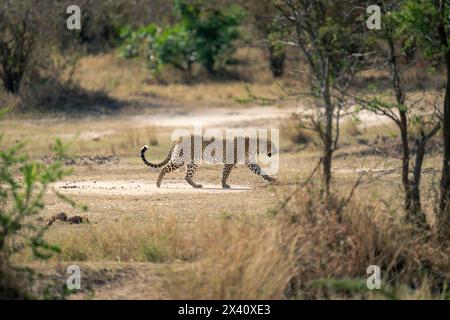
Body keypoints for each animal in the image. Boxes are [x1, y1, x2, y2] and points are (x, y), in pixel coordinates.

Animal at [141, 134, 276, 189]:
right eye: (273, 146)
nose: (276, 151)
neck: (255, 146)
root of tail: (180, 138)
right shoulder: (229, 162)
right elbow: (225, 174)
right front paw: (224, 185)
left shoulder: (250, 163)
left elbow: (260, 171)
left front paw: (272, 179)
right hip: (180, 159)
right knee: (164, 168)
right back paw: (158, 184)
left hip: (192, 161)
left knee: (186, 176)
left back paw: (196, 185)